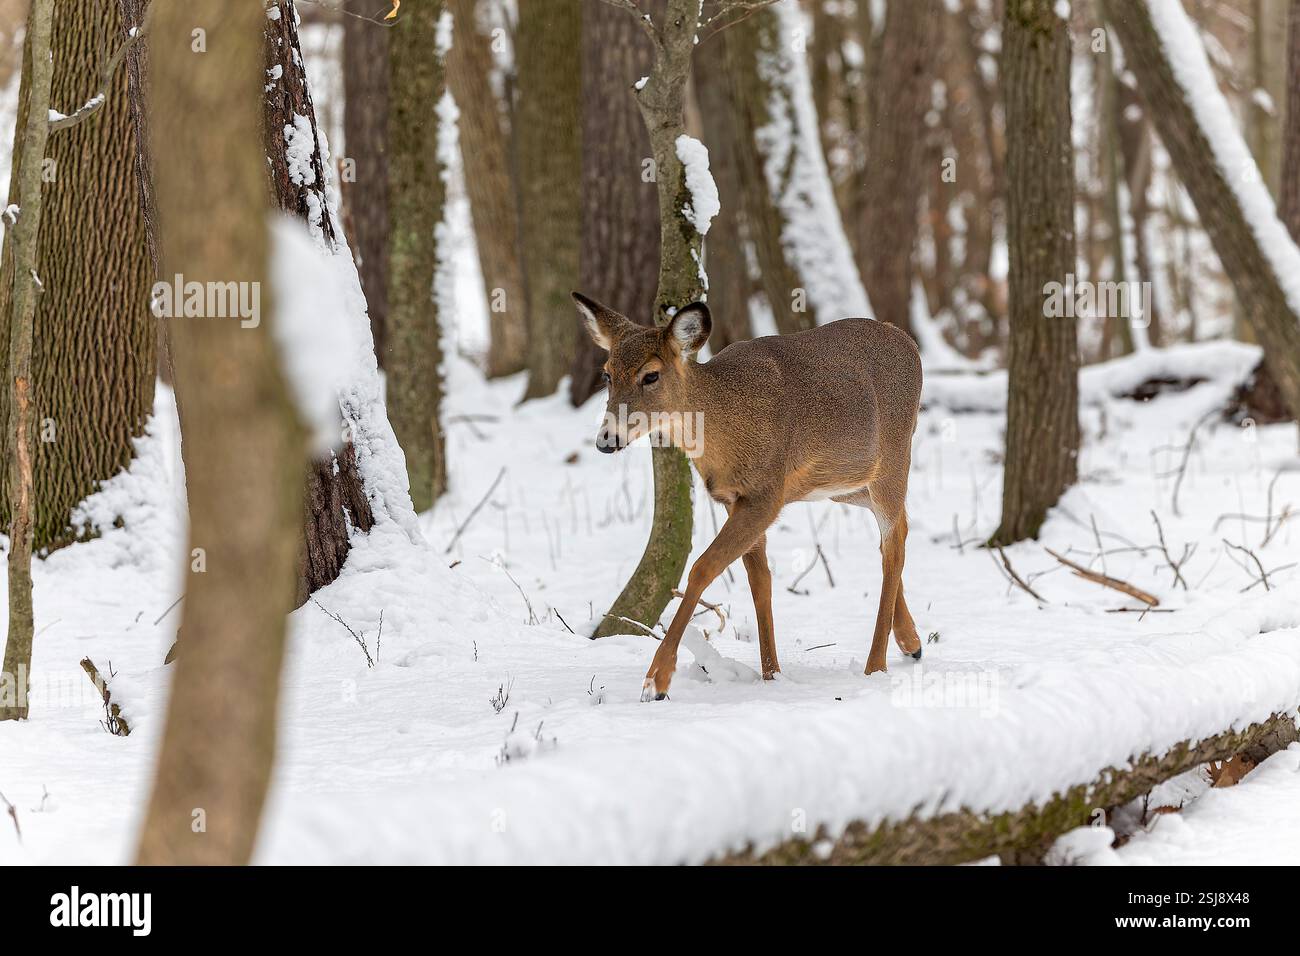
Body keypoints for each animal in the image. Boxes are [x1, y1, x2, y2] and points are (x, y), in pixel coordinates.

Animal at [573, 291, 924, 702]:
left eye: (651, 375)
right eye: (607, 373)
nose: (606, 440)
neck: (724, 430)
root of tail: (905, 339)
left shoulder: (765, 494)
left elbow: (703, 567)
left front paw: (657, 680)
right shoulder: (733, 499)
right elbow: (760, 580)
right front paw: (772, 674)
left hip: (894, 458)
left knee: (894, 543)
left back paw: (876, 665)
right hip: (846, 484)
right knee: (895, 532)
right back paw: (912, 641)